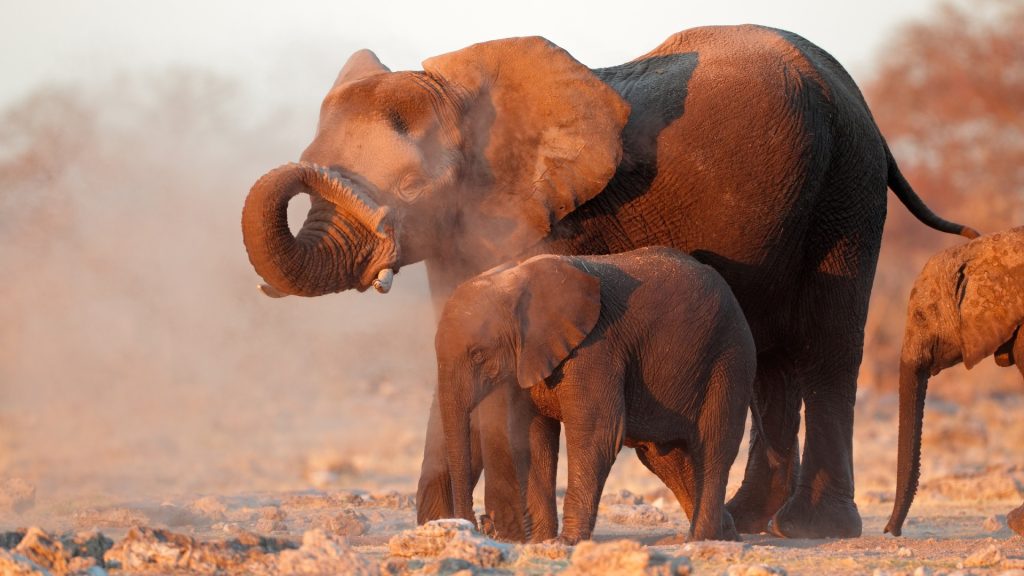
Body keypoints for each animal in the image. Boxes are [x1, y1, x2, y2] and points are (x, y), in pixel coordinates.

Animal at [436, 247, 757, 543]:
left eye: (478, 355)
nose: (481, 525)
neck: (513, 279)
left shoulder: (596, 348)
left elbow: (598, 435)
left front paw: (566, 542)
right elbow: (533, 439)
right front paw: (540, 542)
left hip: (729, 359)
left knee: (713, 447)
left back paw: (700, 540)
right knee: (665, 460)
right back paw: (721, 536)